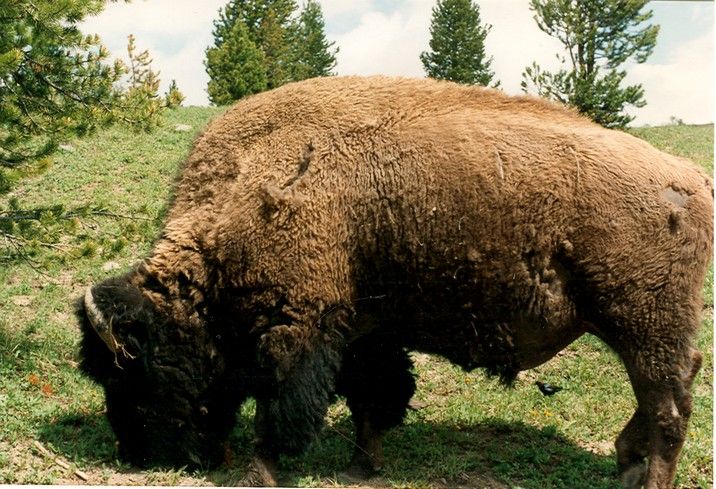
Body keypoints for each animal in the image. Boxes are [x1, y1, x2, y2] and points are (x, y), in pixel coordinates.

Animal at [75, 76, 712, 488]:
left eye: (132, 372)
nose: (134, 453)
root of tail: (690, 178)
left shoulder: (299, 328)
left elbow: (282, 406)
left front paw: (262, 472)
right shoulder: (363, 331)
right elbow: (371, 396)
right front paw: (363, 467)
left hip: (644, 324)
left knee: (669, 408)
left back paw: (646, 479)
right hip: (634, 328)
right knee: (665, 393)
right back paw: (625, 464)